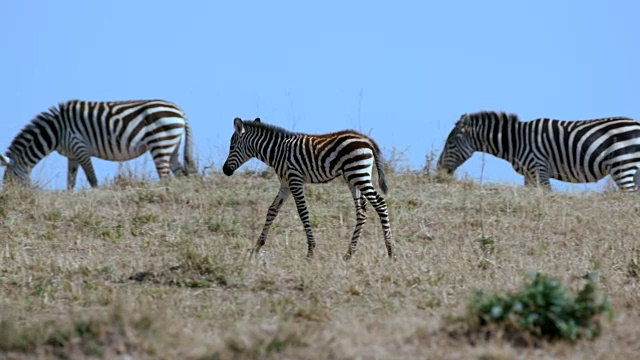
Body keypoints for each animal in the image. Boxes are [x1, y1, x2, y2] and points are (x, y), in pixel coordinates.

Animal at [0, 98, 196, 188]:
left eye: (8, 180)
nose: (11, 197)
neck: (56, 131)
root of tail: (179, 110)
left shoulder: (80, 147)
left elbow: (91, 178)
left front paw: (95, 194)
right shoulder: (72, 155)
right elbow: (70, 180)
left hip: (160, 144)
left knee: (165, 177)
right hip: (172, 146)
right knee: (180, 174)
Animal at [224, 116, 396, 260]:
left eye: (232, 146)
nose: (225, 170)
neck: (278, 151)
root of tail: (366, 140)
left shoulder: (295, 179)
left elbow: (303, 212)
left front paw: (311, 251)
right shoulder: (285, 183)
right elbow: (272, 210)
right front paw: (257, 247)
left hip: (358, 174)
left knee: (380, 204)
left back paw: (390, 252)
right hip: (353, 178)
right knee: (361, 212)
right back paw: (349, 254)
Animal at [438, 111, 640, 191]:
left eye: (450, 143)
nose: (438, 169)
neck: (516, 141)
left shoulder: (539, 169)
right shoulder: (529, 175)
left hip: (623, 165)